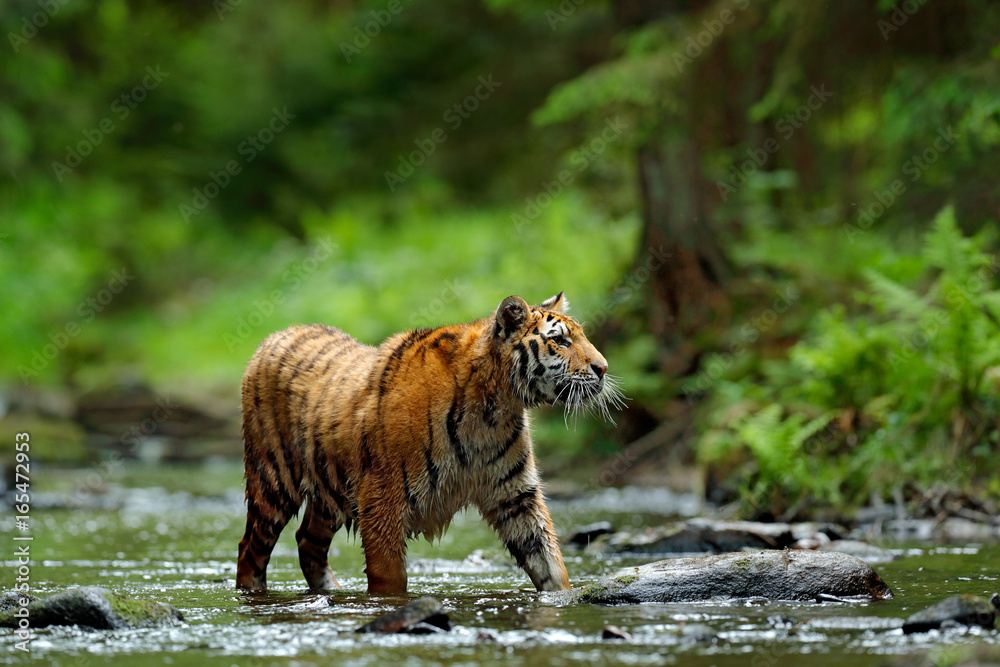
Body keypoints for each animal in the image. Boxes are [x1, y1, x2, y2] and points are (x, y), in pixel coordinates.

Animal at [236, 292, 622, 595]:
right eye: (561, 341)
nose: (603, 368)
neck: (495, 408)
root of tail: (277, 333)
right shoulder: (383, 498)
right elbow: (389, 578)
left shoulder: (516, 495)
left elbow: (548, 561)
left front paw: (563, 596)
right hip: (273, 483)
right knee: (249, 549)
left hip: (331, 493)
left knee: (307, 541)